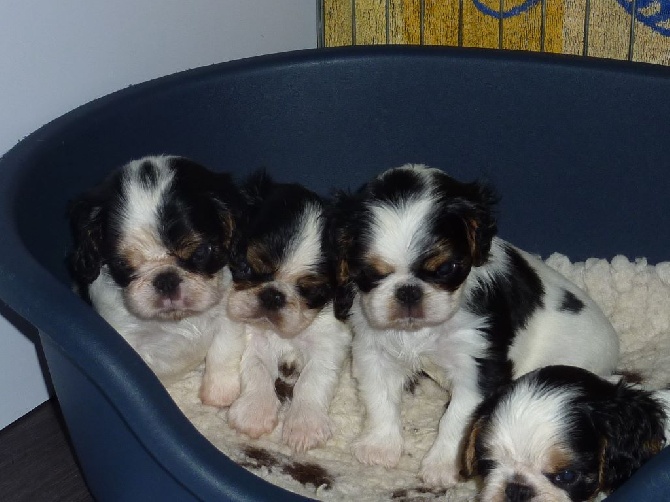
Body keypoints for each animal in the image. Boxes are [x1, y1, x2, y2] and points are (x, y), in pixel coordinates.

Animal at [69, 155, 247, 394]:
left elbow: (223, 353)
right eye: (122, 263)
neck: (176, 320)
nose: (166, 280)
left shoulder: (226, 316)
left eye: (201, 252)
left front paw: (219, 395)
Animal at [214, 173, 352, 452]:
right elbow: (256, 368)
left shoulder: (330, 340)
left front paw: (305, 425)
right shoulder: (252, 336)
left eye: (310, 289)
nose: (273, 295)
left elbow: (313, 378)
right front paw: (254, 413)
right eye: (245, 266)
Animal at [334, 165, 624, 486]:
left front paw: (442, 466)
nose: (408, 291)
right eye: (370, 272)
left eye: (446, 269)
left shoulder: (478, 365)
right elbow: (380, 398)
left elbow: (457, 419)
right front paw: (379, 446)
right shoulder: (374, 351)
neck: (421, 330)